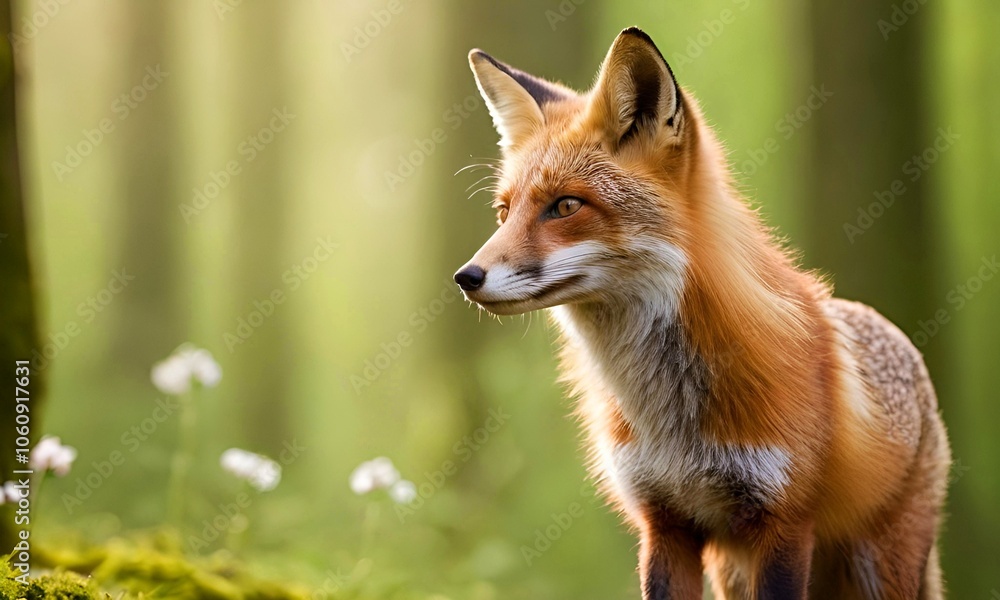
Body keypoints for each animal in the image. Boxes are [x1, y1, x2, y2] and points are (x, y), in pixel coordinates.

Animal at [453, 27, 951, 600]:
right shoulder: (664, 522)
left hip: (880, 566)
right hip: (733, 570)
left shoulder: (783, 524)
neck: (672, 419)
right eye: (504, 212)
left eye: (566, 206)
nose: (466, 277)